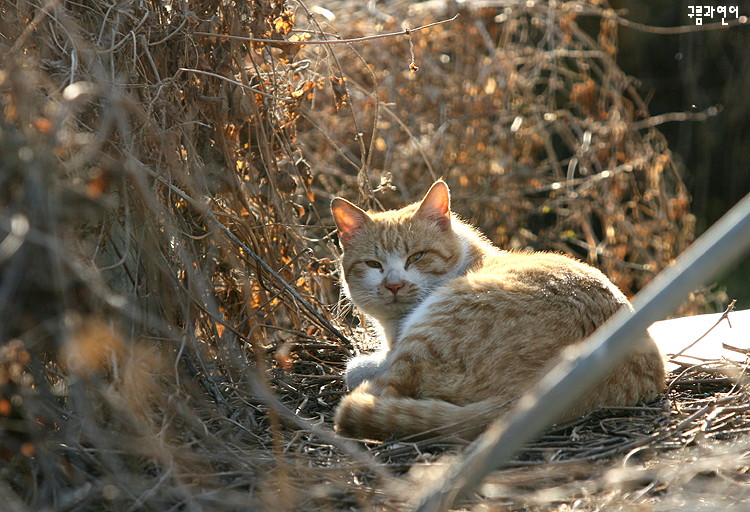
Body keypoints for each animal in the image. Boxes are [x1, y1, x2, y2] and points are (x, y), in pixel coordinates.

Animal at [330, 181, 664, 440]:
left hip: (435, 326)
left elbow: (362, 370)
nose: (394, 285)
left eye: (417, 257)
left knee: (387, 385)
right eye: (373, 264)